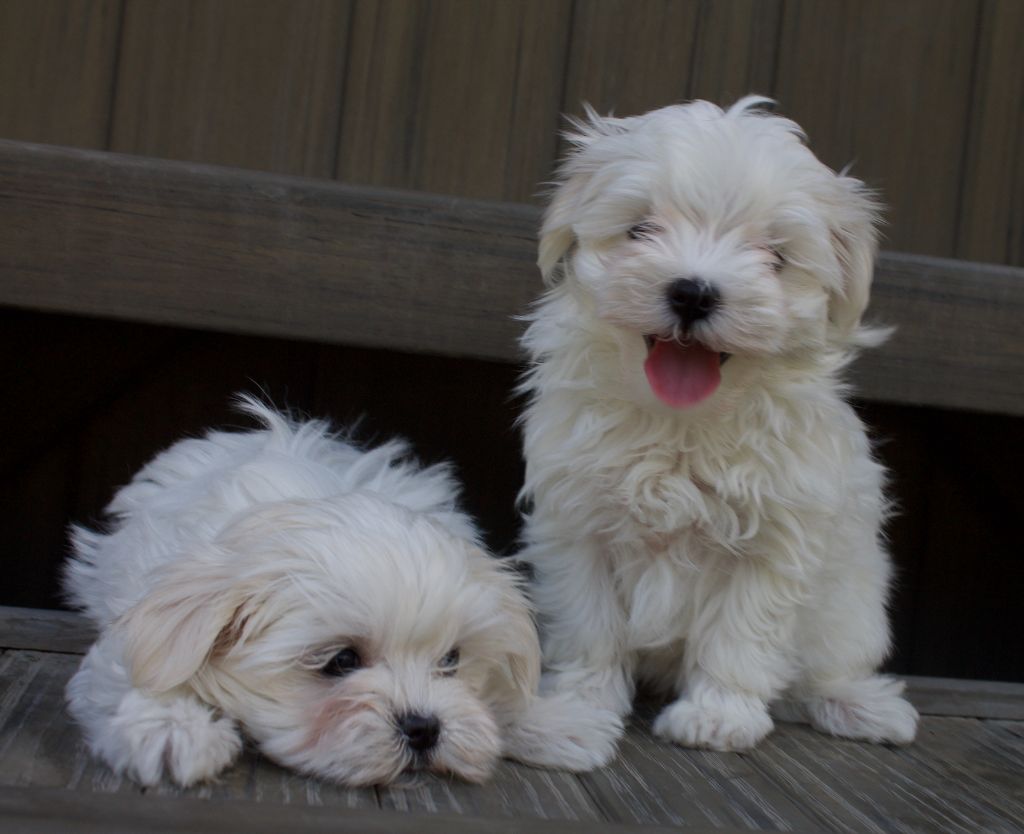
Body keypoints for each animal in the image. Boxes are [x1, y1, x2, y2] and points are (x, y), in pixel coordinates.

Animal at [64, 397, 602, 790]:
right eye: (340, 661)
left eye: (451, 660)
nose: (424, 726)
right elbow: (137, 668)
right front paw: (171, 729)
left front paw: (553, 719)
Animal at [520, 97, 921, 762]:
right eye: (641, 229)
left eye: (775, 257)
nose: (693, 292)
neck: (683, 425)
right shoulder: (579, 527)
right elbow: (589, 624)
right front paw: (581, 703)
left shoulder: (773, 539)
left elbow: (740, 633)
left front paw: (718, 715)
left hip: (853, 610)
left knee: (826, 671)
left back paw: (859, 704)